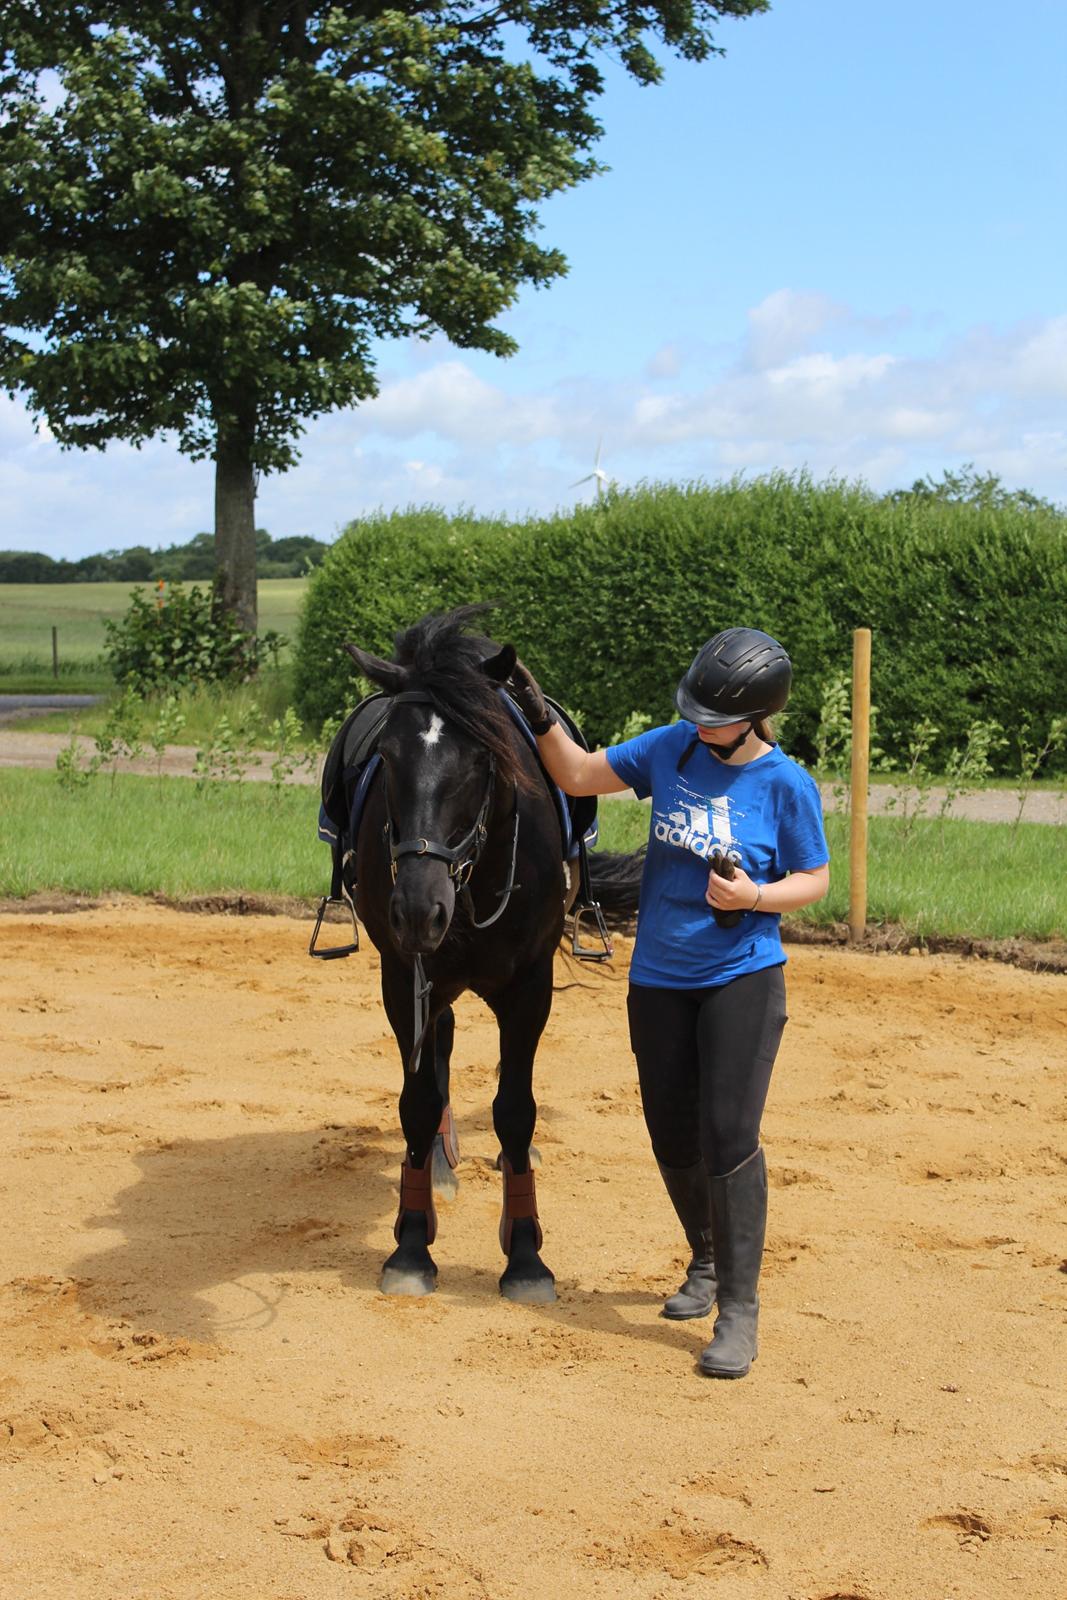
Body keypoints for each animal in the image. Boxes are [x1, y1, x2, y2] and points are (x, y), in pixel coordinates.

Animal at [342, 604, 627, 1305]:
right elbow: (417, 1102)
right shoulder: (403, 976)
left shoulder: (529, 986)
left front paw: (525, 1255)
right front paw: (412, 1244)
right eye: (386, 755)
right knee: (440, 1049)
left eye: (480, 759)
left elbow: (515, 1111)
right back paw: (440, 1170)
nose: (419, 907)